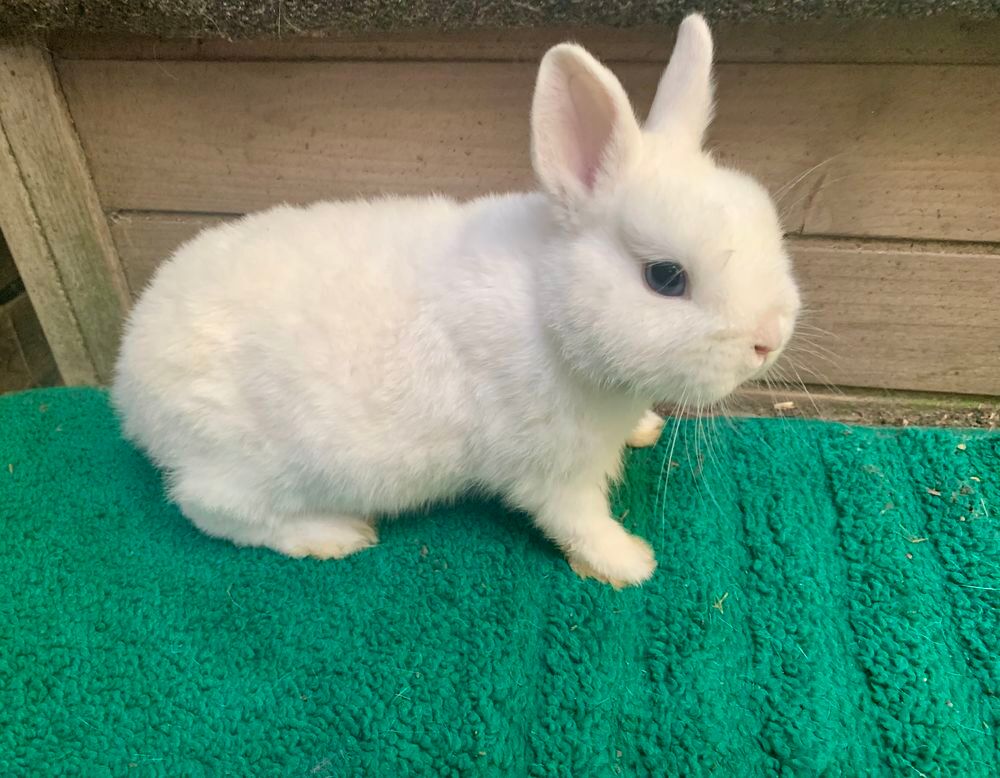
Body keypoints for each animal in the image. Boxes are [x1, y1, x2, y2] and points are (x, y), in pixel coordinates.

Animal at [112, 13, 800, 588]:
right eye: (665, 278)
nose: (769, 340)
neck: (548, 308)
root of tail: (127, 386)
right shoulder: (550, 468)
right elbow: (577, 519)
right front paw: (629, 563)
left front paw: (646, 429)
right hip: (249, 464)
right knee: (212, 509)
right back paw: (333, 534)